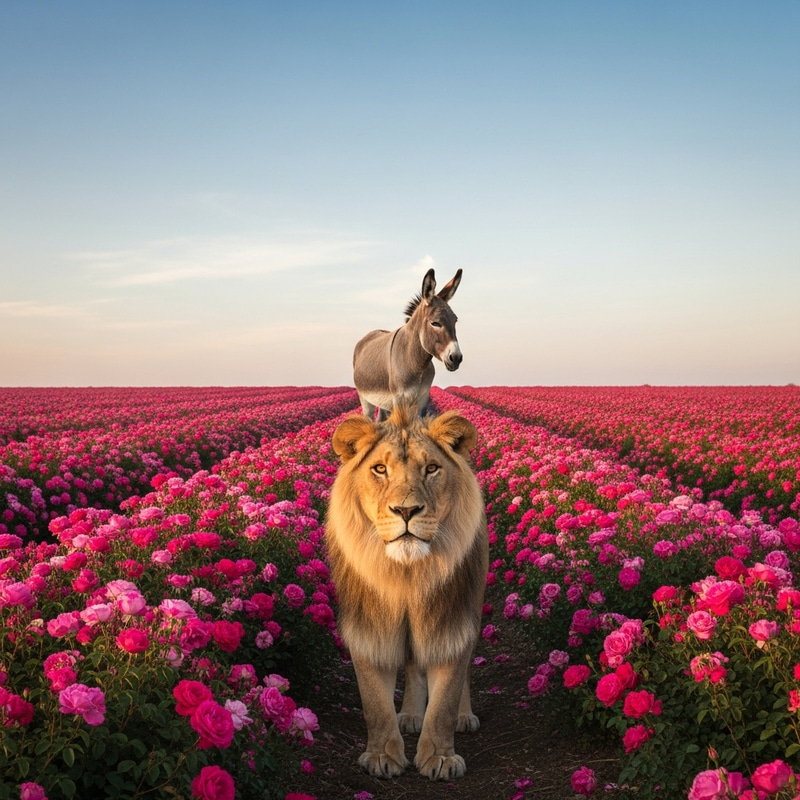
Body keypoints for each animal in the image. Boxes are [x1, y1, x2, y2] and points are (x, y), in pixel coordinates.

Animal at [325, 404, 488, 781]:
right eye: (380, 469)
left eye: (431, 469)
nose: (406, 511)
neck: (406, 576)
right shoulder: (369, 628)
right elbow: (374, 703)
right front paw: (382, 756)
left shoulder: (451, 623)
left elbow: (444, 701)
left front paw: (440, 758)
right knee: (413, 666)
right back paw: (412, 714)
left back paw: (465, 716)